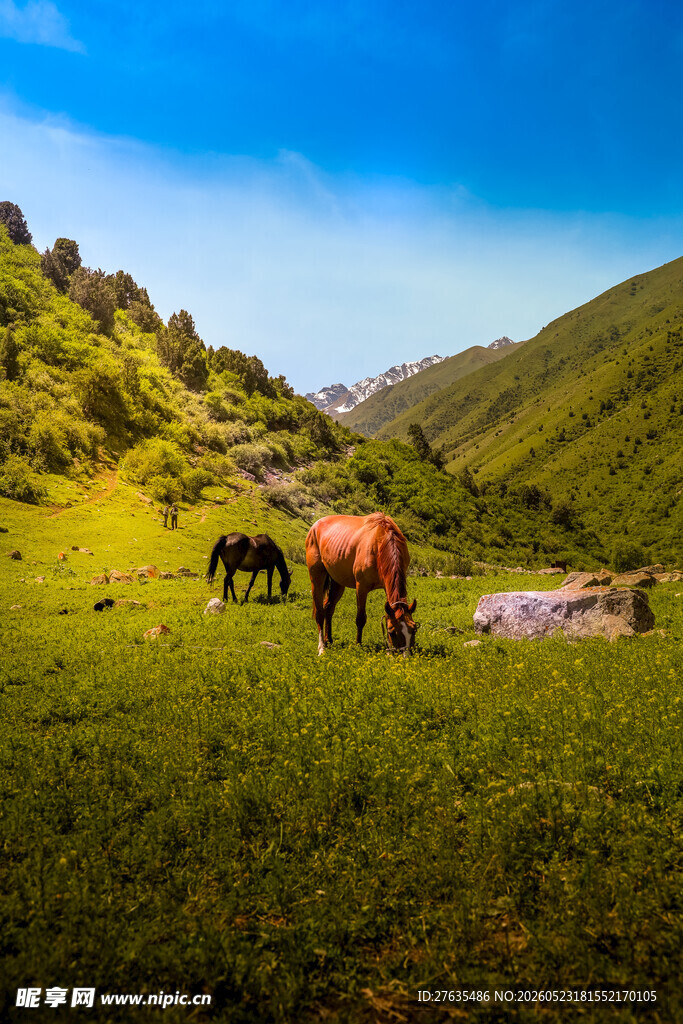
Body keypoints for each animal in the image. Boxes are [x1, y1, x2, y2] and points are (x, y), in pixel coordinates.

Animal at [306, 512, 418, 656]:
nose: (405, 656)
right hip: (317, 577)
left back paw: (328, 640)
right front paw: (358, 645)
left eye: (414, 629)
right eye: (392, 632)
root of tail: (315, 525)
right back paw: (322, 648)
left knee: (328, 608)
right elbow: (360, 618)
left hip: (338, 582)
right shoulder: (361, 588)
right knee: (320, 612)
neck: (380, 541)